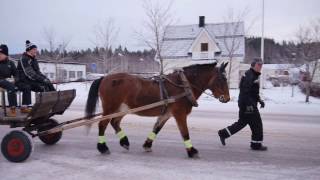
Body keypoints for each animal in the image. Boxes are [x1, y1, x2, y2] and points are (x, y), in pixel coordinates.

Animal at [85, 62, 230, 158]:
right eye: (222, 79)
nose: (227, 98)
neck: (183, 86)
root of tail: (104, 78)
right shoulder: (180, 114)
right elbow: (185, 132)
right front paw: (192, 151)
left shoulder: (167, 114)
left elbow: (157, 128)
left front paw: (147, 145)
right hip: (110, 108)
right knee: (102, 124)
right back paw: (103, 147)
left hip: (123, 108)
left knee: (115, 122)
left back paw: (124, 142)